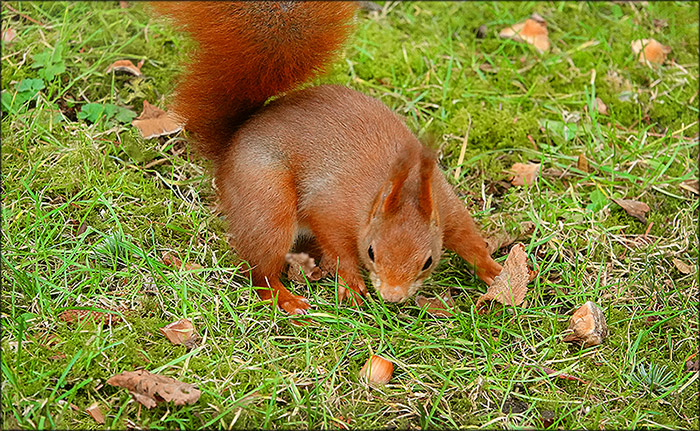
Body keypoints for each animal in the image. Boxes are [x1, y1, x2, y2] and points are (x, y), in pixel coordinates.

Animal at [152, 1, 502, 315]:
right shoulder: (331, 207)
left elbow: (469, 239)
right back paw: (285, 298)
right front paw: (350, 281)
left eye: (428, 261)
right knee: (259, 269)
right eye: (371, 252)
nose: (392, 297)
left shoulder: (447, 207)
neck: (399, 187)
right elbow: (337, 243)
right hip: (267, 199)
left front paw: (496, 272)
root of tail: (233, 141)